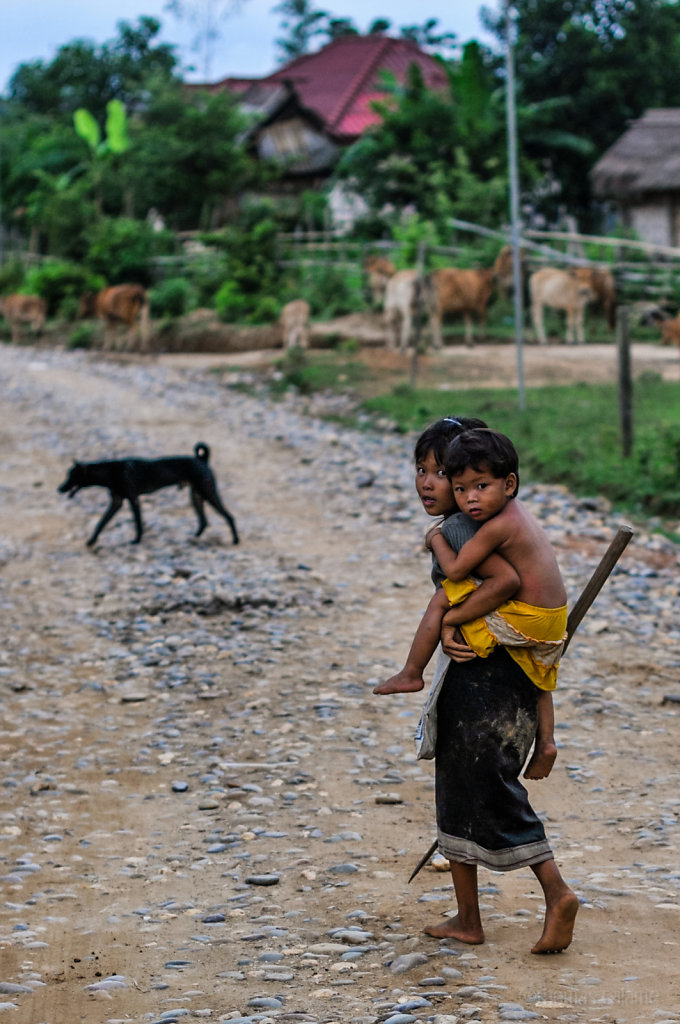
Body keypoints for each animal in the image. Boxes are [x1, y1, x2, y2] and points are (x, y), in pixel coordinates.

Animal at [58, 444, 238, 548]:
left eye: (71, 477)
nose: (59, 489)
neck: (110, 471)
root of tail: (202, 460)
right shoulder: (117, 502)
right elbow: (101, 523)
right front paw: (91, 541)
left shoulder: (133, 500)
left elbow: (138, 523)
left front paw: (136, 541)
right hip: (197, 496)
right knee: (204, 520)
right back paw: (194, 538)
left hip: (208, 493)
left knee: (229, 517)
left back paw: (236, 540)